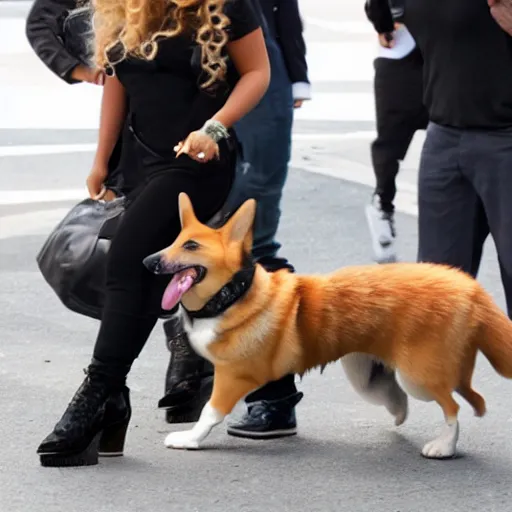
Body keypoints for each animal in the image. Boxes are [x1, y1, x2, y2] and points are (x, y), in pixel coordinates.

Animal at [142, 193, 512, 460]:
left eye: (191, 246)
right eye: (175, 240)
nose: (147, 261)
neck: (233, 295)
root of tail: (469, 287)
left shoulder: (233, 377)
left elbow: (209, 412)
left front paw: (190, 439)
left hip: (417, 375)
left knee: (454, 405)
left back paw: (444, 447)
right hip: (362, 368)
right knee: (419, 394)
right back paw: (400, 413)